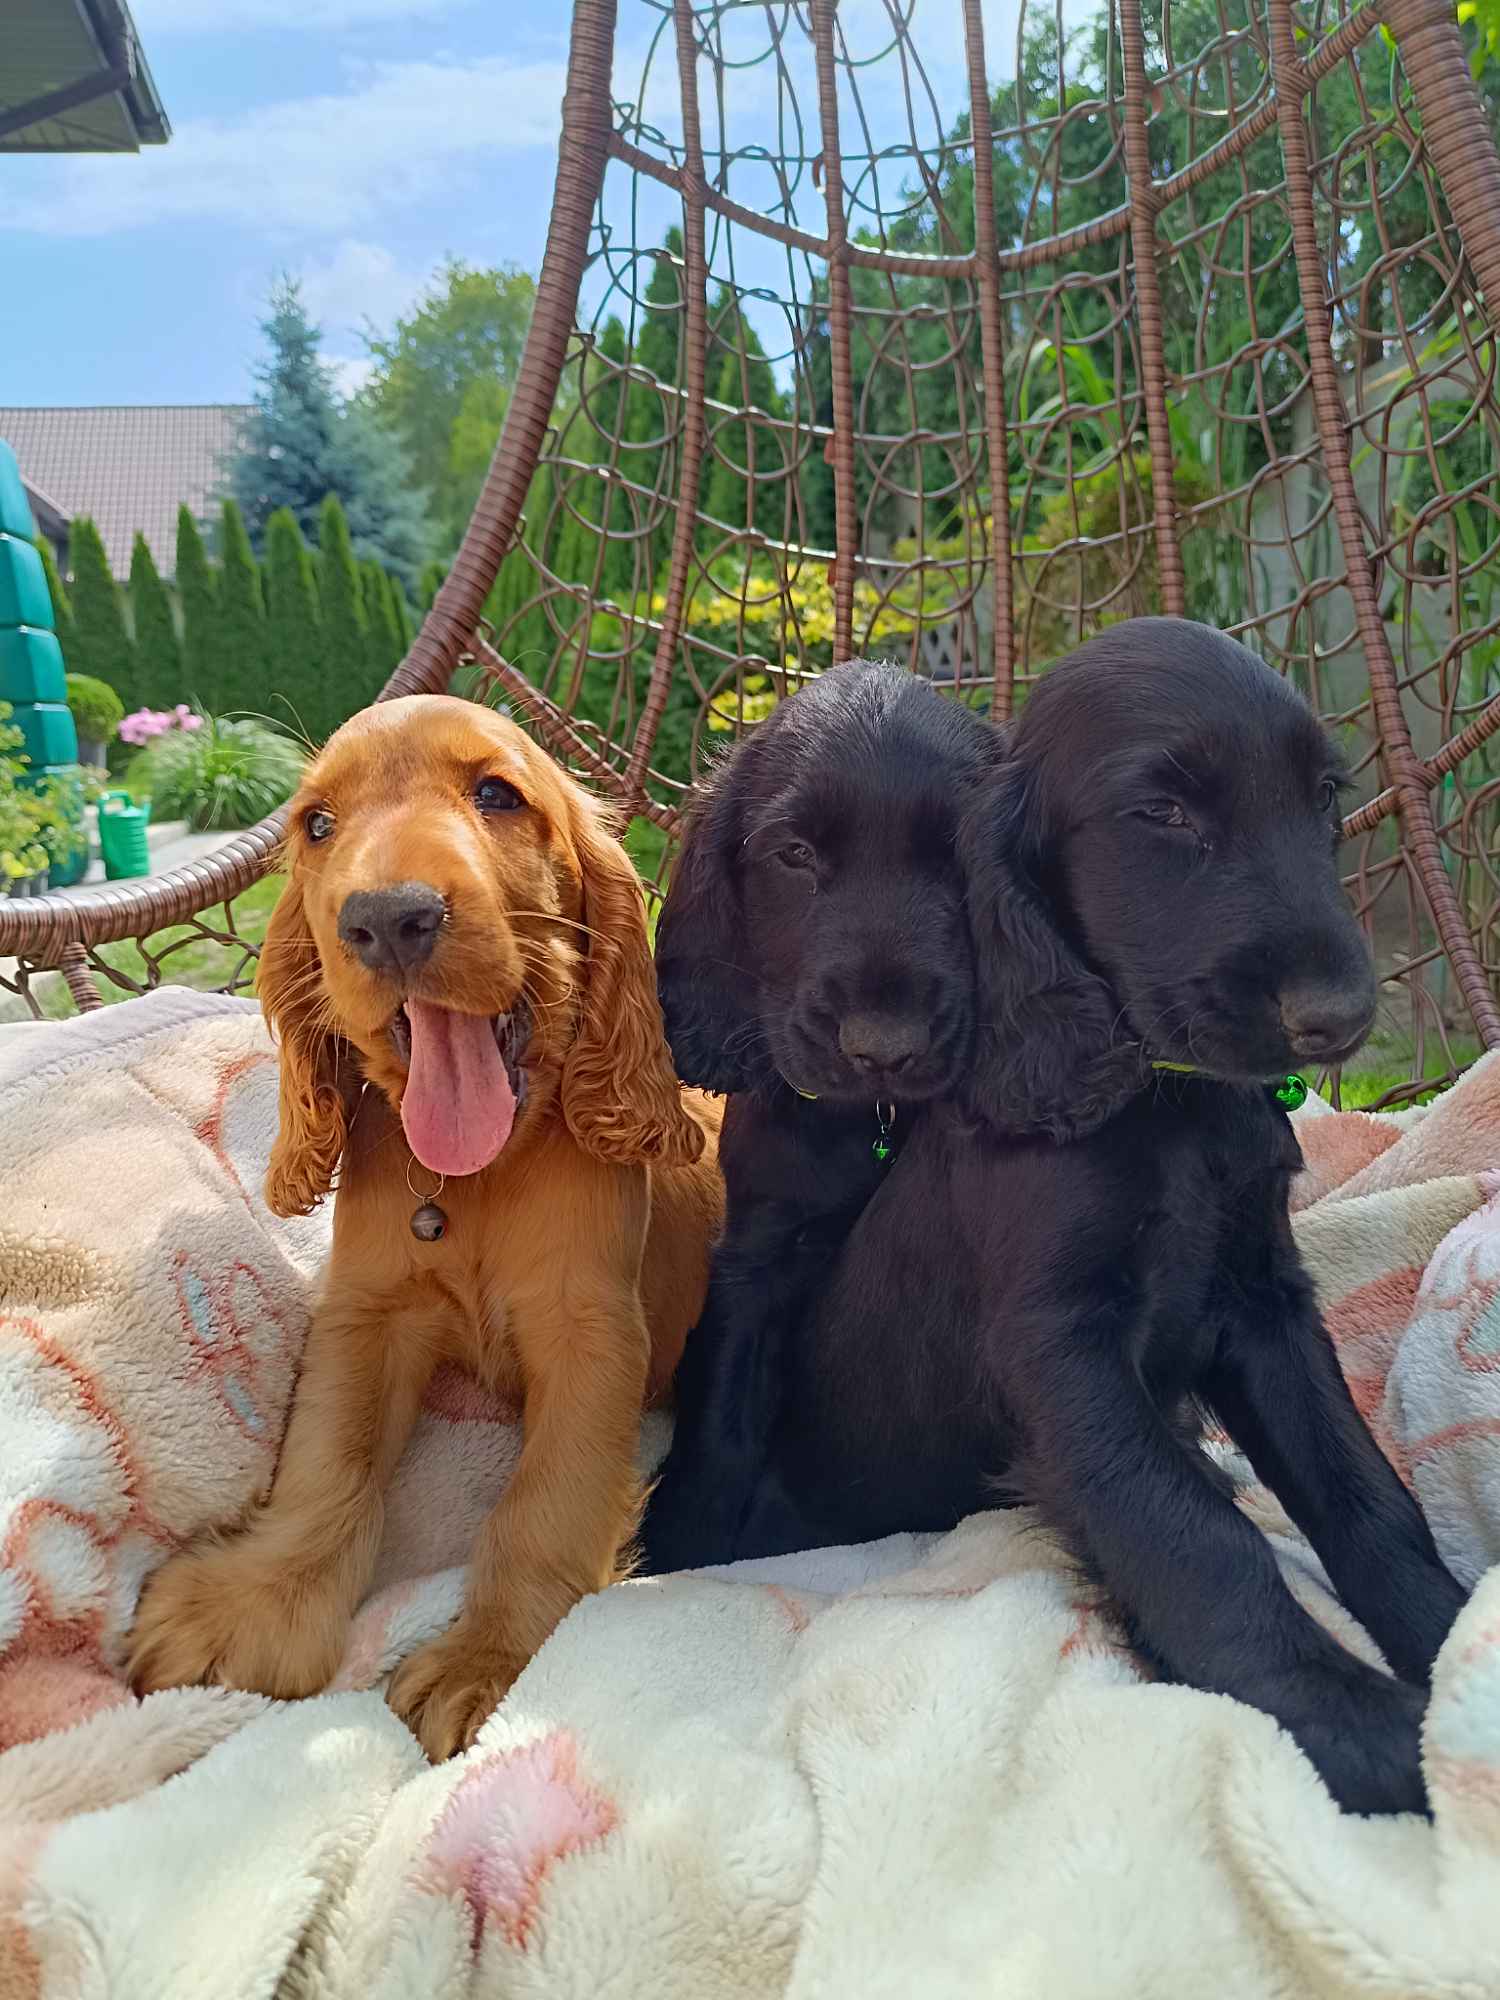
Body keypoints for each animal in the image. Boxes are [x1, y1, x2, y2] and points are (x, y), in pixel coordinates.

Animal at [644, 660, 1004, 1576]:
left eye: (962, 859)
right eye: (795, 855)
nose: (884, 1048)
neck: (868, 1122)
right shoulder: (759, 1251)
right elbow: (722, 1420)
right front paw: (682, 1548)